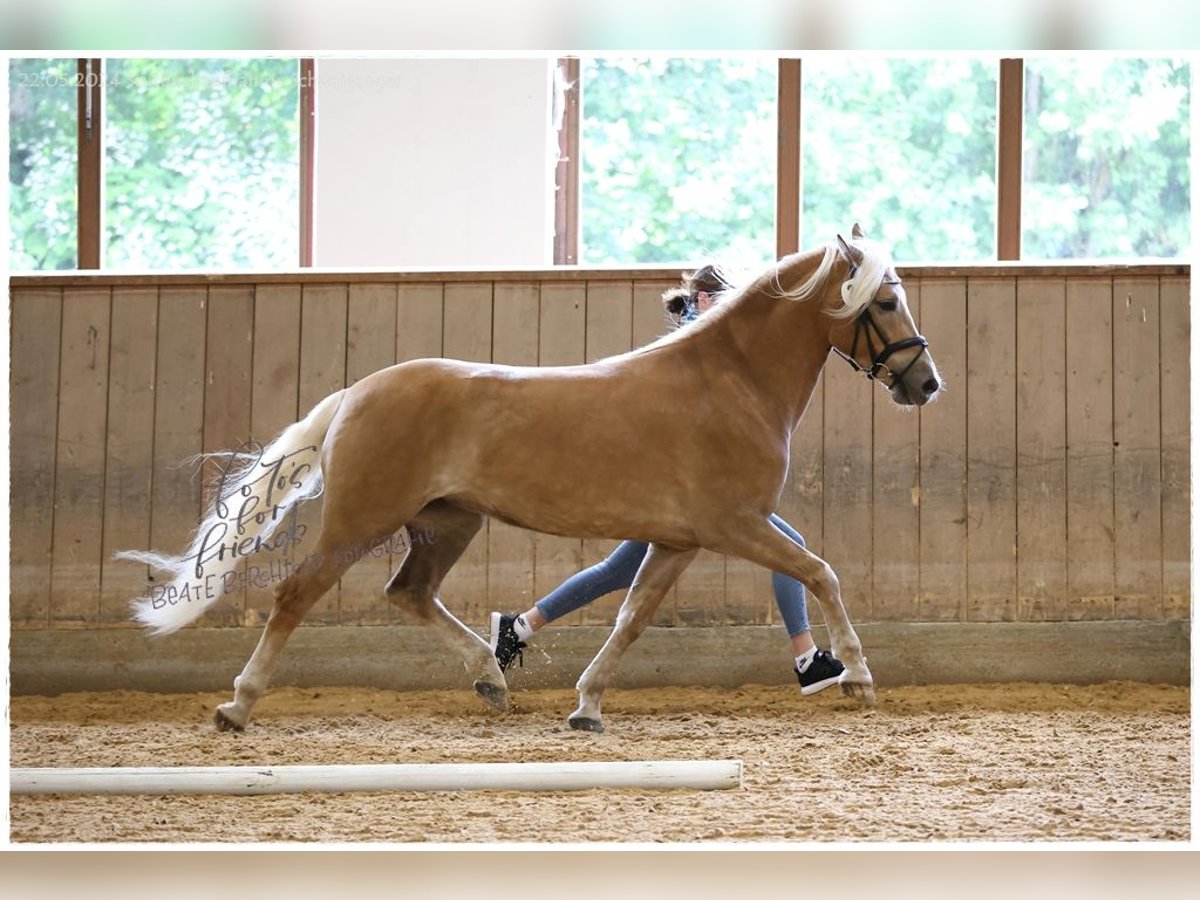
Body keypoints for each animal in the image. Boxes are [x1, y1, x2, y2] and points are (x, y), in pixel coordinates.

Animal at [124, 225, 945, 734]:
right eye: (884, 300)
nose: (925, 383)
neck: (730, 381)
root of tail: (357, 392)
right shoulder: (734, 526)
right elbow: (821, 571)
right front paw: (857, 676)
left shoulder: (678, 541)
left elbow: (630, 617)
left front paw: (586, 706)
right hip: (361, 520)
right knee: (295, 596)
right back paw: (238, 707)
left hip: (448, 522)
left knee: (409, 594)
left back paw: (492, 676)